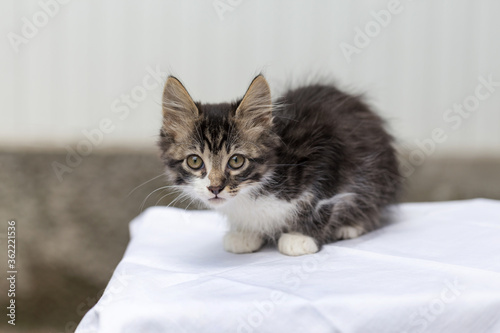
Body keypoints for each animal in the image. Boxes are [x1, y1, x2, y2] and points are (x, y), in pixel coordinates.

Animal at [160, 75, 402, 255]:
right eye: (194, 161)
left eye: (236, 161)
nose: (215, 188)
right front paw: (246, 233)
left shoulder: (327, 148)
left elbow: (322, 198)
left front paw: (301, 237)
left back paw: (351, 225)